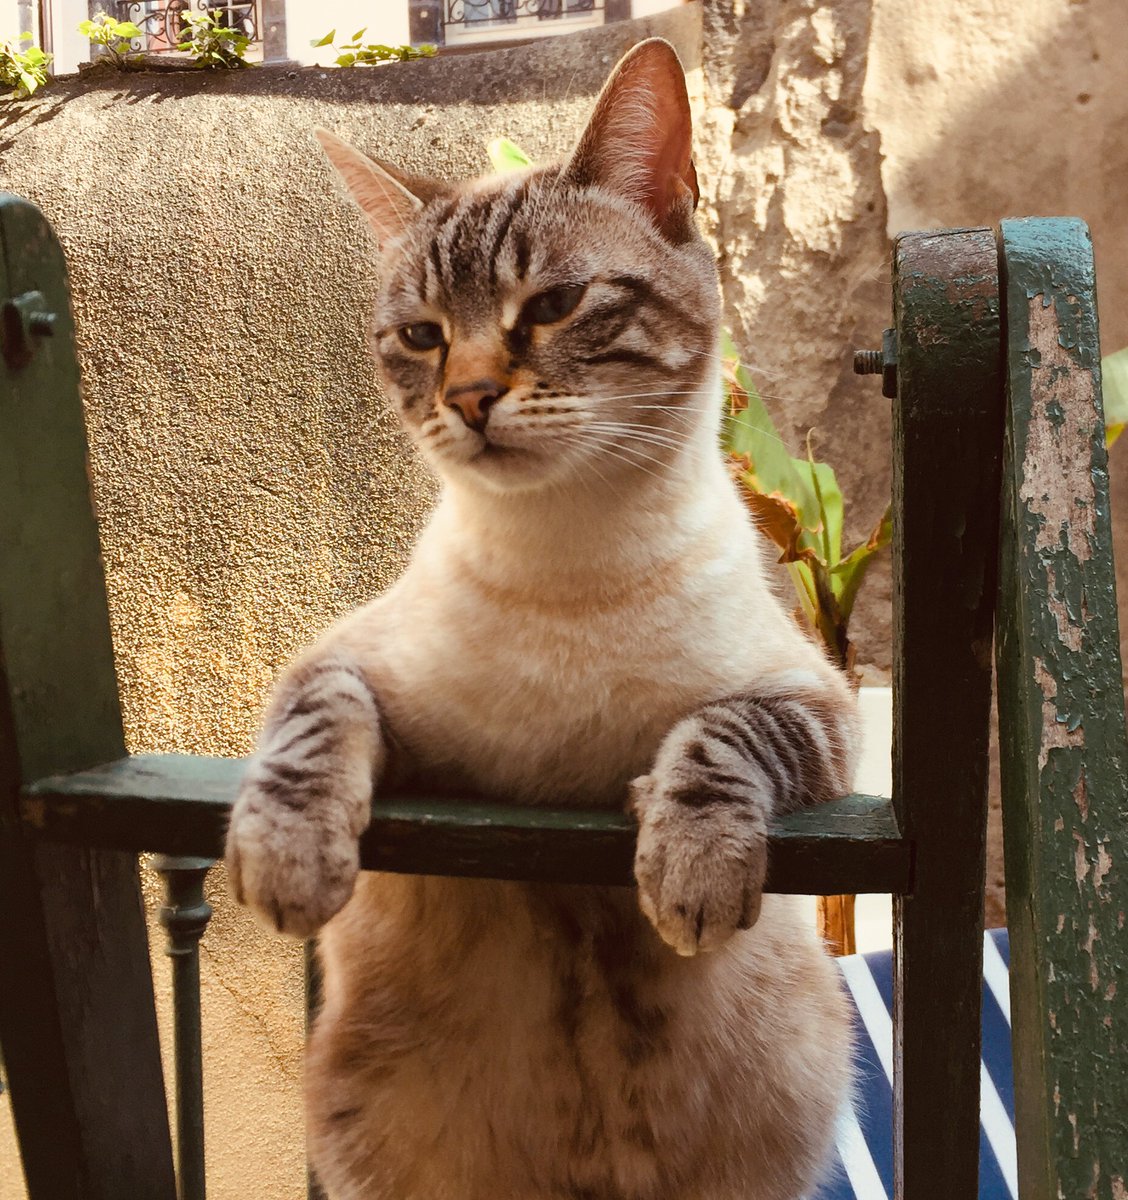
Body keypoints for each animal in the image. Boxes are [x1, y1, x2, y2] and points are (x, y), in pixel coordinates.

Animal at [224, 37, 859, 1200]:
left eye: (555, 305)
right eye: (421, 337)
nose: (470, 397)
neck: (570, 552)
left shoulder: (821, 701)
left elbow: (720, 735)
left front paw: (691, 866)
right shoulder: (350, 667)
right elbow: (308, 727)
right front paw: (288, 861)